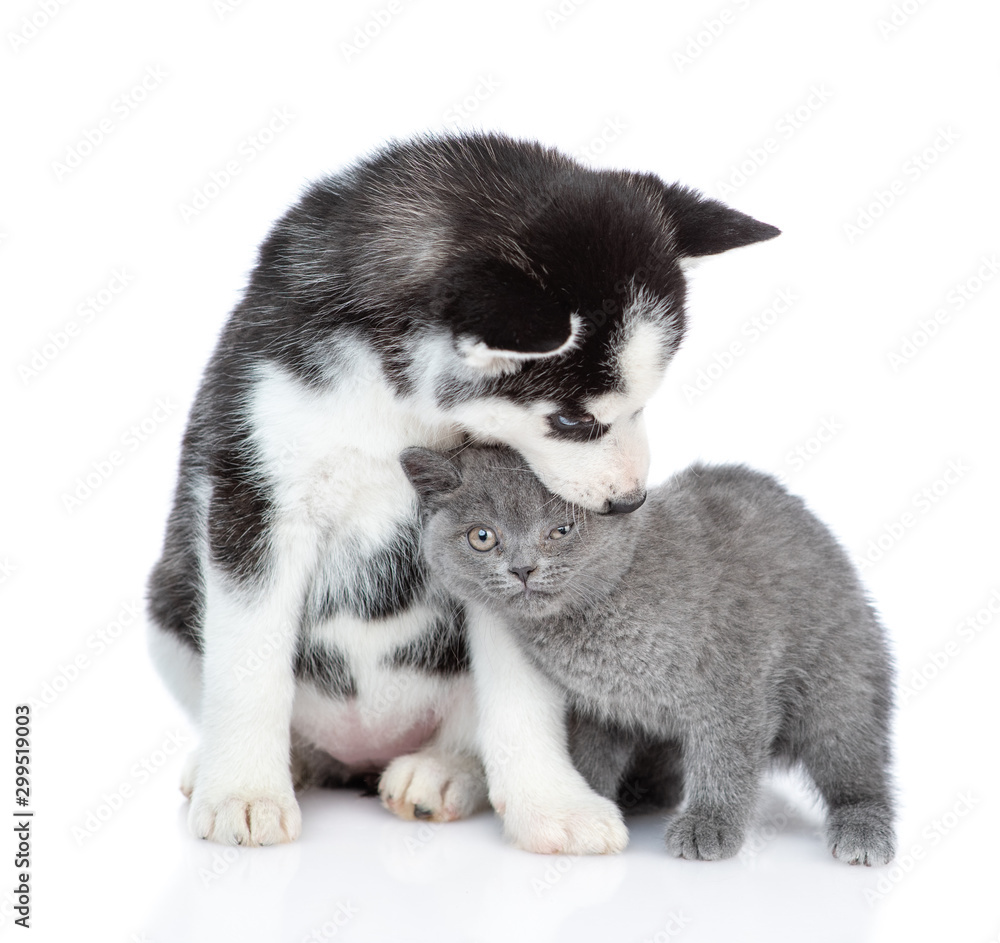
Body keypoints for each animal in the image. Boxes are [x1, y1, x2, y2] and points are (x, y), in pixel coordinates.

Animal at [400, 446, 900, 868]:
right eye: (482, 536)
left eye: (561, 530)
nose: (523, 569)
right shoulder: (599, 707)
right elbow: (591, 756)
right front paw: (589, 802)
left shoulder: (736, 677)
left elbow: (726, 758)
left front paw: (709, 824)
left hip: (839, 683)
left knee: (857, 763)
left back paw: (863, 829)